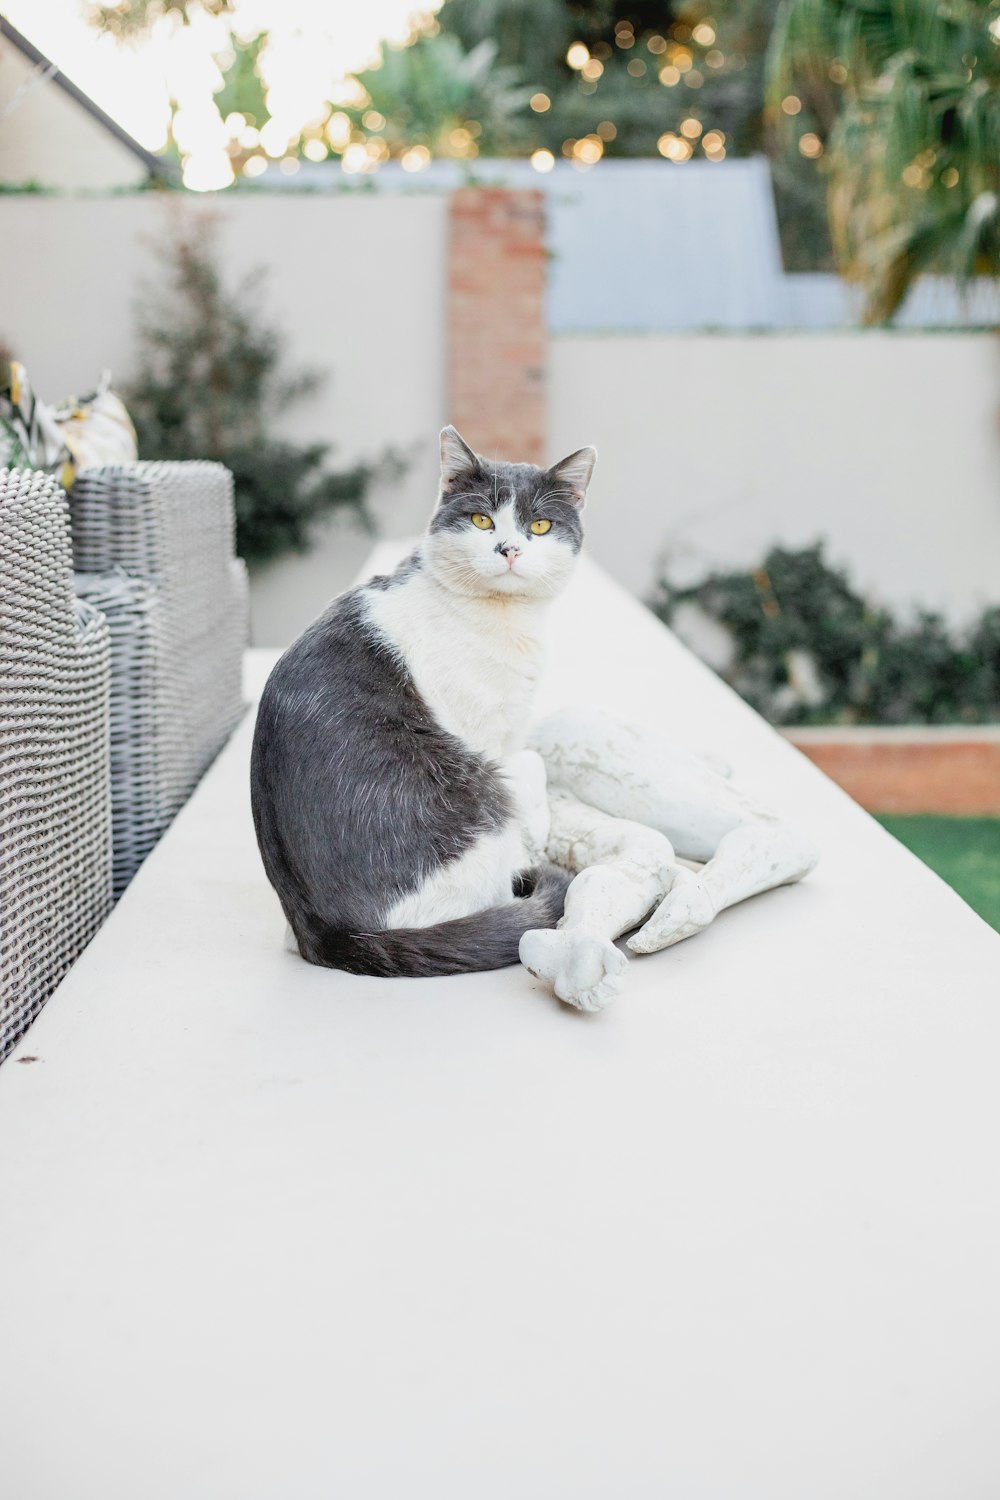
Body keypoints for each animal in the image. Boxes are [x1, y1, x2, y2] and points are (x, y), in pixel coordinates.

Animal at [251, 429, 593, 978]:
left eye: (540, 525)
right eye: (481, 520)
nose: (509, 549)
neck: (504, 619)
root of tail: (327, 934)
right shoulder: (486, 738)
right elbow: (530, 764)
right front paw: (538, 818)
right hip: (471, 789)